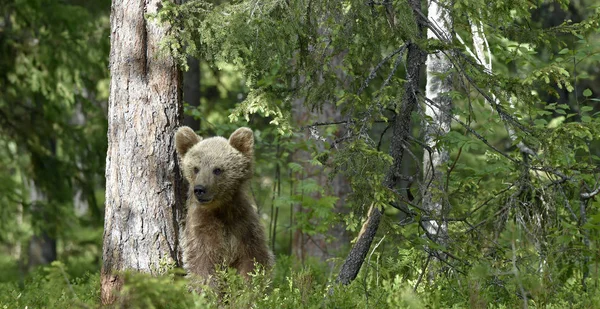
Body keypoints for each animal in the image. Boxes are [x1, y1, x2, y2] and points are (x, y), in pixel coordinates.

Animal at [175, 126, 276, 286]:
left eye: (217, 169)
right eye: (196, 168)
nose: (200, 189)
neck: (221, 209)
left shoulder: (244, 226)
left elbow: (255, 260)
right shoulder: (201, 228)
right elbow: (201, 263)